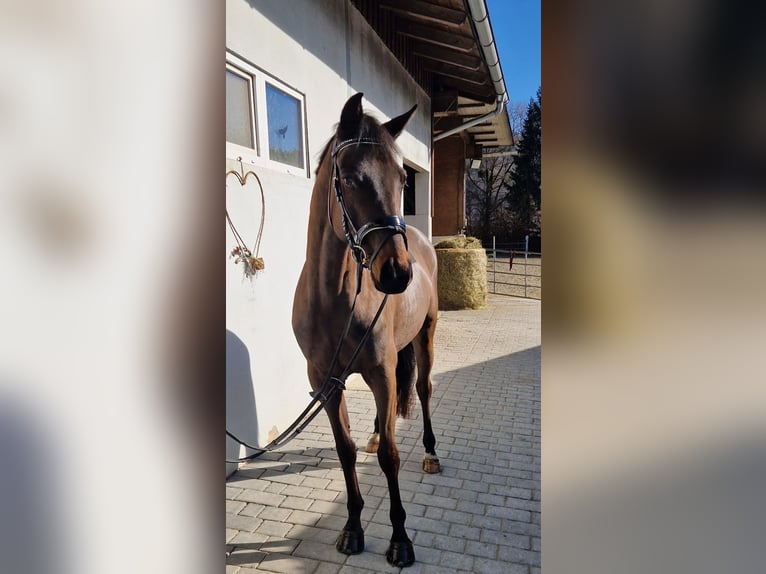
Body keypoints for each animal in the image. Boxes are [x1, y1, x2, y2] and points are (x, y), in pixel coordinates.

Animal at [292, 93, 441, 567]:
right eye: (351, 179)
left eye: (402, 179)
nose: (396, 273)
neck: (335, 300)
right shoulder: (325, 381)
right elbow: (346, 450)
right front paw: (353, 527)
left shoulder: (382, 372)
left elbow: (392, 457)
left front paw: (400, 539)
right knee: (382, 422)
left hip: (425, 336)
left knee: (425, 390)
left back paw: (431, 453)